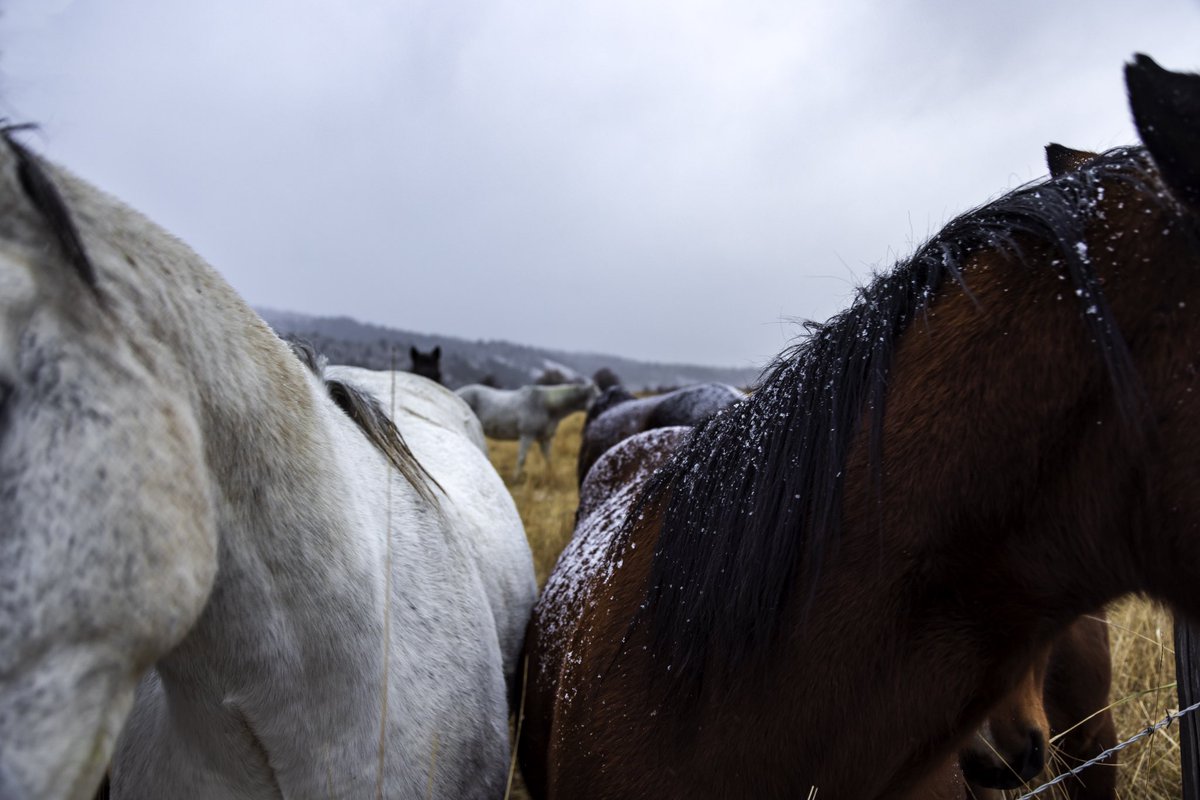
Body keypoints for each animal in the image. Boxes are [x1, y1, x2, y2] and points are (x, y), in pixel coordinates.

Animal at [456, 381, 599, 479]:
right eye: (598, 396)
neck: (547, 406)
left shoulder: (545, 439)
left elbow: (548, 458)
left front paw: (551, 477)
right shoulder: (527, 435)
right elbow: (522, 458)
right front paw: (516, 478)